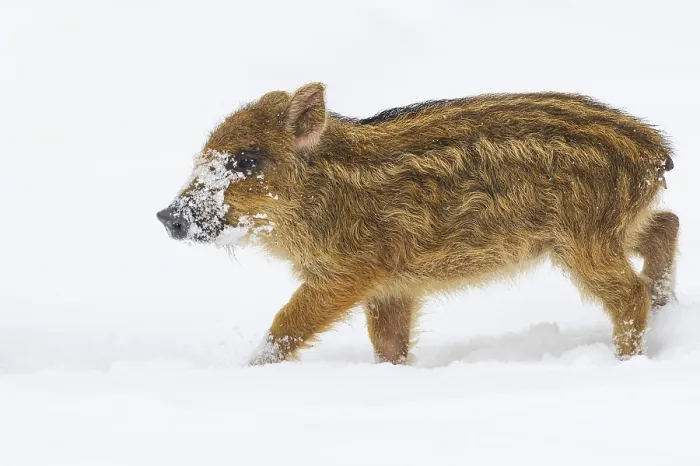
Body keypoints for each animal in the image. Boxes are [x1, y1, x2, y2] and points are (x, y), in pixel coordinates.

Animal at [157, 83, 678, 365]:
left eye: (246, 159)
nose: (166, 217)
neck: (321, 195)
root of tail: (656, 153)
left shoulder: (350, 272)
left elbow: (287, 326)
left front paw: (248, 369)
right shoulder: (392, 286)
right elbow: (389, 345)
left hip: (584, 239)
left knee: (628, 293)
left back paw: (625, 358)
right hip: (615, 229)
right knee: (666, 224)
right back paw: (666, 308)